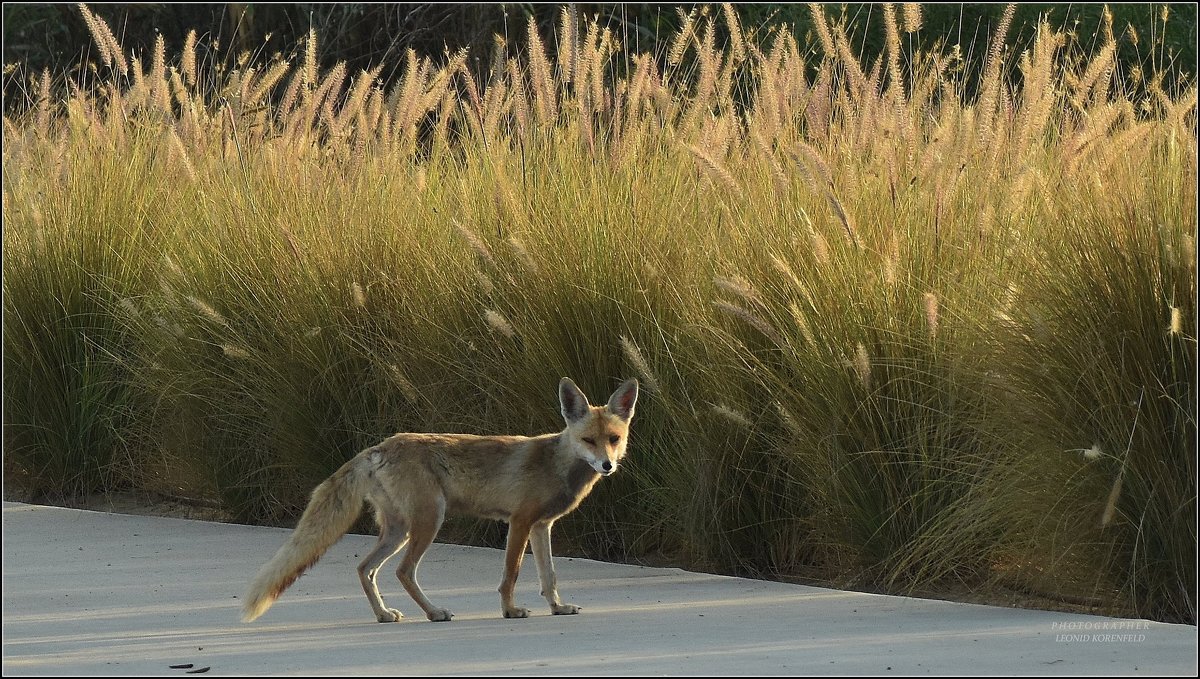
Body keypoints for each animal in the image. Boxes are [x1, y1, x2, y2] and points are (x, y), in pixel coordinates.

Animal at [238, 381, 643, 623]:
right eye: (588, 440)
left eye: (614, 438)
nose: (607, 466)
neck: (557, 465)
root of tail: (378, 447)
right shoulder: (519, 521)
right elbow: (510, 575)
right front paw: (510, 610)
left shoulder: (542, 525)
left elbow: (550, 576)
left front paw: (558, 607)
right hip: (429, 522)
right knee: (403, 571)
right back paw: (433, 612)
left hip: (398, 530)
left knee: (365, 568)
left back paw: (384, 614)